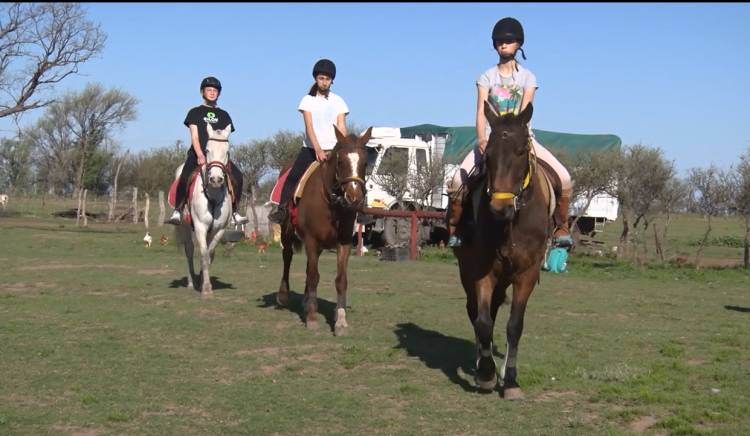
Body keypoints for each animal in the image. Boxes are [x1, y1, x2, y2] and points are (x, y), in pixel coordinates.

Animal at [176, 124, 235, 298]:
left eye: (227, 151)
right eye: (207, 150)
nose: (216, 179)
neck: (213, 195)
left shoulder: (219, 229)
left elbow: (210, 254)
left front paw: (204, 281)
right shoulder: (200, 227)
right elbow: (202, 253)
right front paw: (206, 289)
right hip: (185, 226)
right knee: (189, 250)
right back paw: (191, 282)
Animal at [278, 124, 374, 336]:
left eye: (365, 162)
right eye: (341, 161)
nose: (354, 198)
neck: (331, 203)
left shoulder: (343, 242)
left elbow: (340, 280)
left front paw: (340, 321)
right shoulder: (311, 240)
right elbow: (314, 277)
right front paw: (312, 318)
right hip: (287, 233)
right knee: (287, 257)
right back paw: (284, 295)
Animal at [456, 101, 556, 398]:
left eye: (521, 151)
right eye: (488, 154)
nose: (500, 208)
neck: (511, 223)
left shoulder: (526, 273)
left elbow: (514, 326)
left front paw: (510, 380)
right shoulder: (481, 272)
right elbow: (483, 321)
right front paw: (487, 374)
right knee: (476, 311)